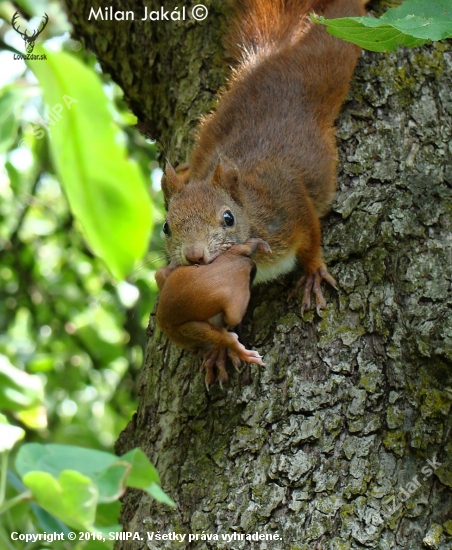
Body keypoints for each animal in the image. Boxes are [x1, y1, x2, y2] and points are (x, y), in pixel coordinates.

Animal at [161, 0, 366, 314]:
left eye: (228, 218)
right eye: (165, 228)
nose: (194, 255)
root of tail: (277, 59)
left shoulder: (288, 202)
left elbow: (311, 237)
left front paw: (313, 273)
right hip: (216, 119)